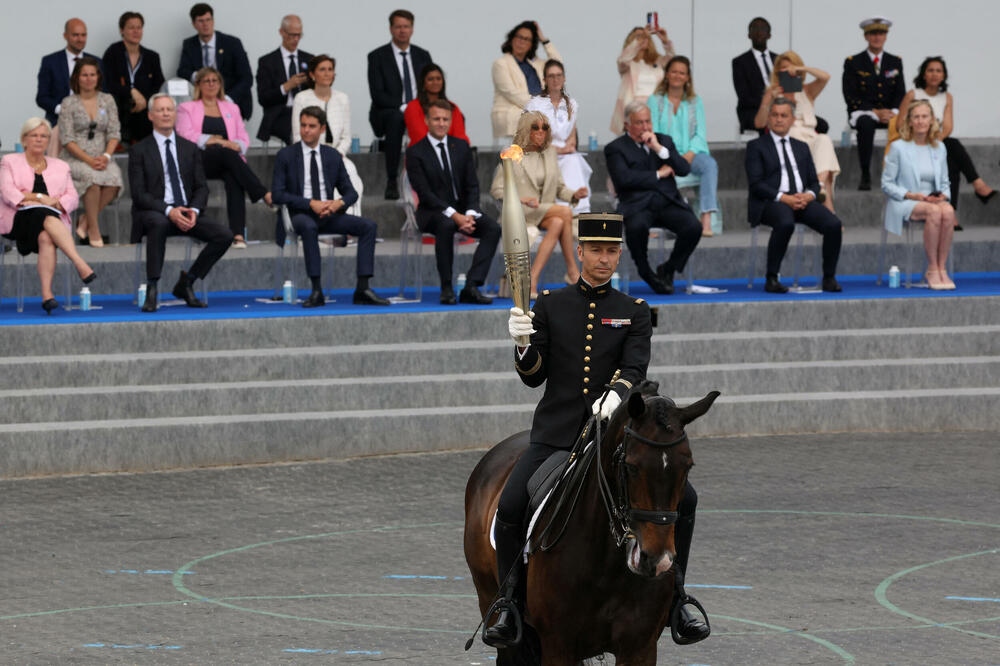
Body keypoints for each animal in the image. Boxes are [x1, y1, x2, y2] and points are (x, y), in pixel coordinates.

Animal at [464, 382, 716, 660]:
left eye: (688, 466)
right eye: (631, 467)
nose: (656, 560)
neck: (606, 565)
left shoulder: (641, 647)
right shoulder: (558, 646)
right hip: (494, 606)